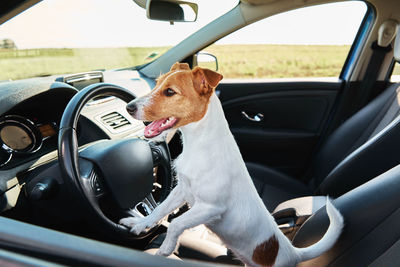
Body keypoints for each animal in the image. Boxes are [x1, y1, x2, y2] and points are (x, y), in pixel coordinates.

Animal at [119, 62, 344, 267]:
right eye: (156, 84)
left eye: (170, 92)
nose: (128, 107)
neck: (199, 144)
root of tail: (292, 252)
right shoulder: (181, 189)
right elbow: (159, 210)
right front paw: (139, 224)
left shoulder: (211, 207)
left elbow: (176, 223)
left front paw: (166, 248)